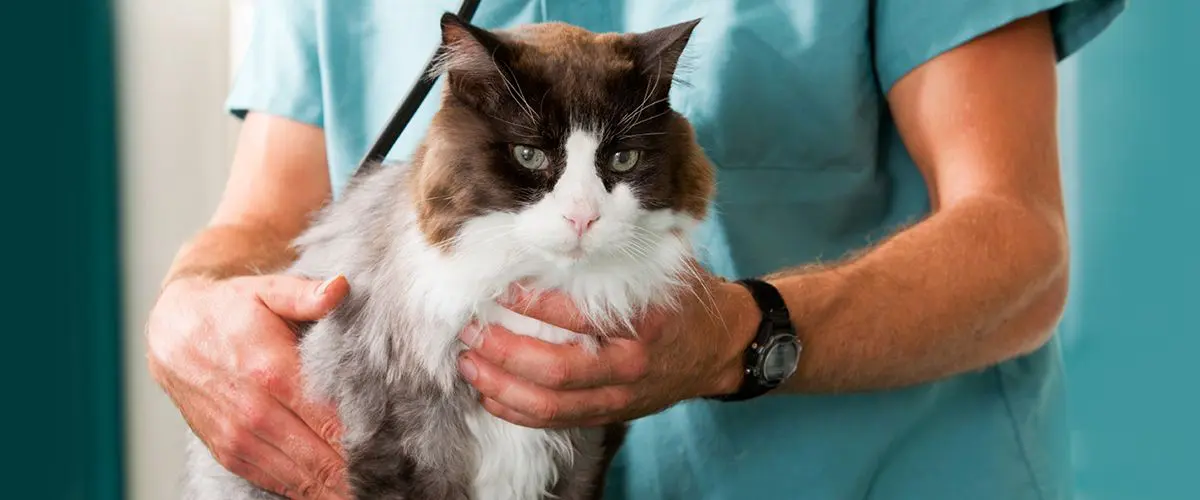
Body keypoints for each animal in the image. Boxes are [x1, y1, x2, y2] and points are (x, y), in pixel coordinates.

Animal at [182, 11, 715, 498]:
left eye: (623, 159)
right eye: (529, 156)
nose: (582, 217)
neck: (536, 286)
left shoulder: (588, 447)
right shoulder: (397, 440)